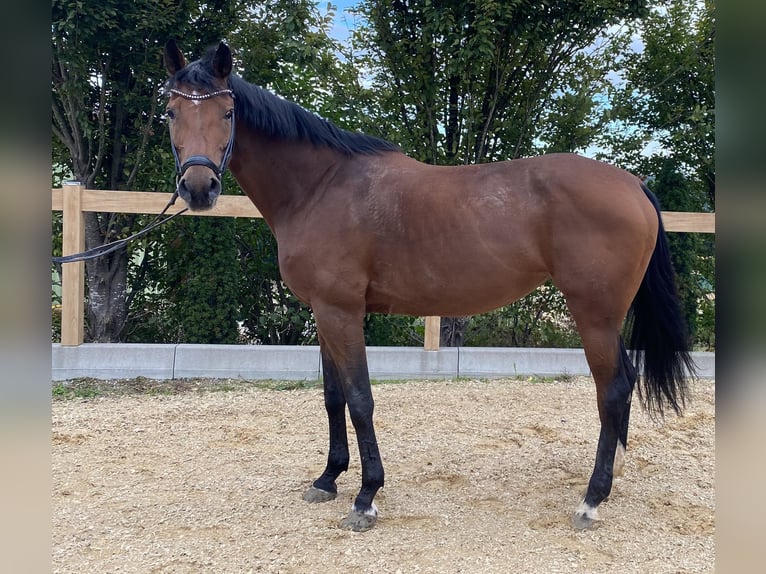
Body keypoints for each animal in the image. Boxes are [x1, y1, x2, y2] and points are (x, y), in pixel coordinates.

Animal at [165, 40, 700, 536]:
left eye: (227, 112)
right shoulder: (324, 312)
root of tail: (633, 185)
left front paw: (366, 497)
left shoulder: (341, 312)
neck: (320, 187)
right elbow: (333, 397)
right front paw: (327, 479)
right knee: (624, 383)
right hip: (604, 317)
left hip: (594, 315)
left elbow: (360, 399)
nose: (199, 188)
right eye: (171, 111)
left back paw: (591, 499)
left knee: (613, 389)